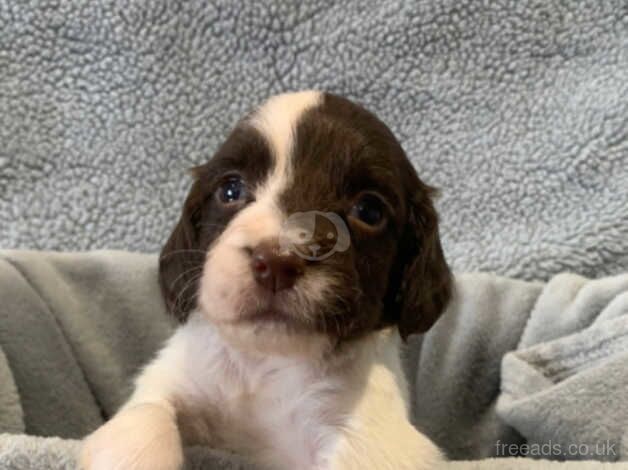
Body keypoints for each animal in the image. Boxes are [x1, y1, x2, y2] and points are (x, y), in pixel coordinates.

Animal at [81, 92, 452, 470]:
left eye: (369, 211)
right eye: (231, 190)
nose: (275, 263)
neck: (267, 364)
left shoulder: (377, 437)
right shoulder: (170, 378)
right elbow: (146, 415)